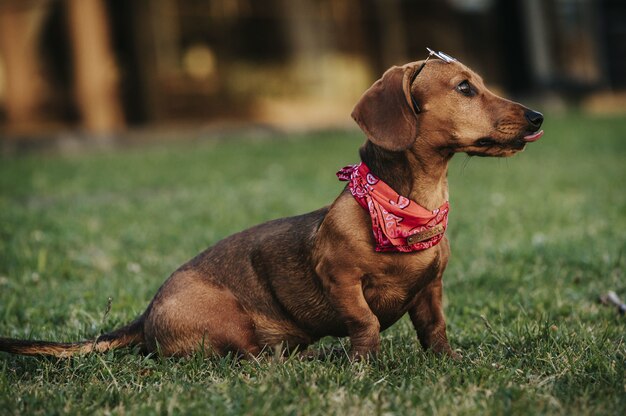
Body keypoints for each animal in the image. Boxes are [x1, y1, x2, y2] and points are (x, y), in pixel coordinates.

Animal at [0, 49, 540, 360]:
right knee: (241, 357)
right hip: (230, 323)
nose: (537, 116)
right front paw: (364, 366)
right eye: (465, 88)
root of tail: (147, 311)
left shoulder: (430, 290)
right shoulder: (340, 281)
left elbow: (436, 330)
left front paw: (448, 363)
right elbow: (364, 323)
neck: (403, 205)